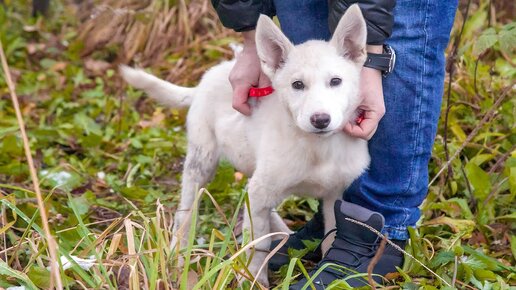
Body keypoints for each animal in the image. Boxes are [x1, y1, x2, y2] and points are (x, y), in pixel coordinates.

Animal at [121, 5, 370, 286]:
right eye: (297, 85)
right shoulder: (263, 190)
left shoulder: (333, 195)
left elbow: (331, 237)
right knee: (186, 211)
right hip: (202, 161)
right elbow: (257, 246)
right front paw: (255, 280)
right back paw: (178, 255)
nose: (320, 120)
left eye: (336, 81)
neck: (318, 148)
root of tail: (208, 77)